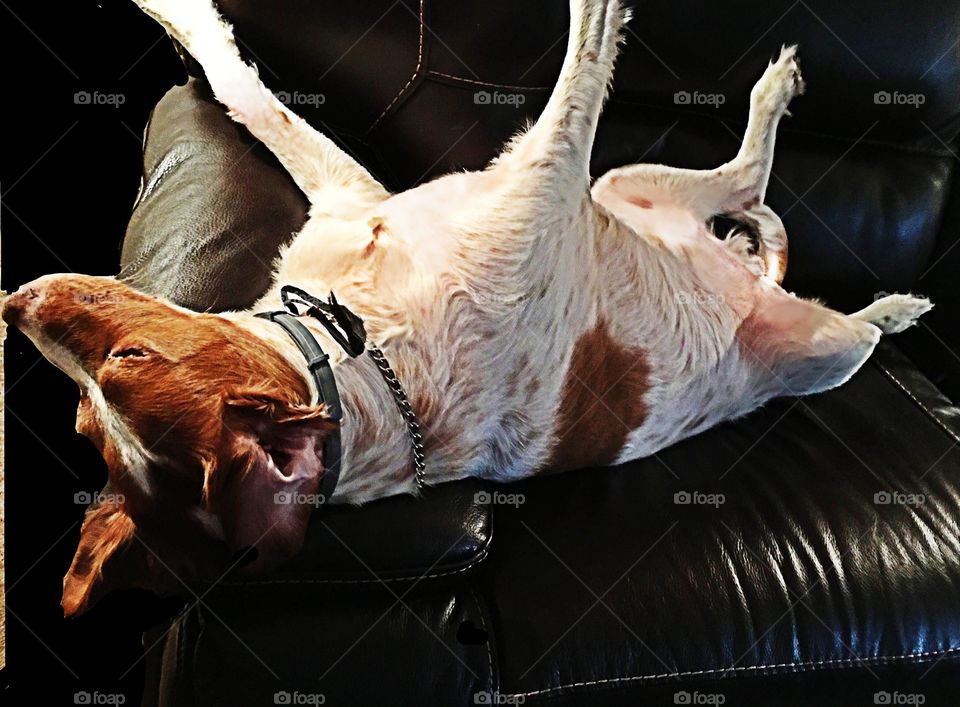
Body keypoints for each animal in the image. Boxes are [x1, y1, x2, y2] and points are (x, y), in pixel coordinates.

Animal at [0, 0, 928, 612]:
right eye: (91, 410)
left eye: (123, 360)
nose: (16, 299)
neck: (366, 354)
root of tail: (749, 279)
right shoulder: (548, 173)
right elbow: (584, 59)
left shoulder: (355, 193)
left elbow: (251, 97)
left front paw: (179, 15)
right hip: (820, 344)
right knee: (799, 252)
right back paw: (896, 305)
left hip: (627, 183)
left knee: (747, 179)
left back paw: (775, 99)